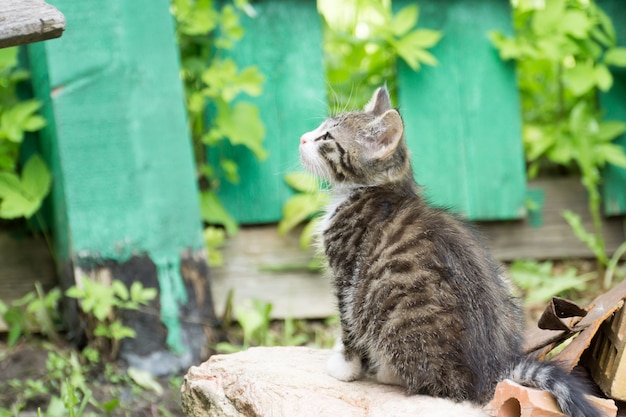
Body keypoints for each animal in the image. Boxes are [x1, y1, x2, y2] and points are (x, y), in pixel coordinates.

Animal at [300, 87, 604, 416]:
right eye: (320, 129)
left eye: (326, 137)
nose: (302, 138)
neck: (369, 191)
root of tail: (492, 372)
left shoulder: (348, 275)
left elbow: (349, 325)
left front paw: (345, 367)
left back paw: (387, 372)